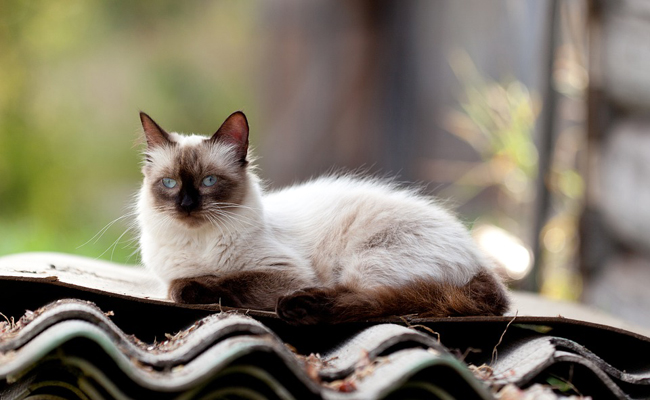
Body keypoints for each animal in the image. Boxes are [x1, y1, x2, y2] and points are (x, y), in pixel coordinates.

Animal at [137, 111, 508, 324]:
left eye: (209, 181)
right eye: (169, 184)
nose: (186, 204)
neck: (197, 243)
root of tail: (482, 263)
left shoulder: (284, 273)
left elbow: (212, 283)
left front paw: (196, 285)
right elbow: (192, 281)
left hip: (366, 261)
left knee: (374, 300)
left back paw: (297, 307)